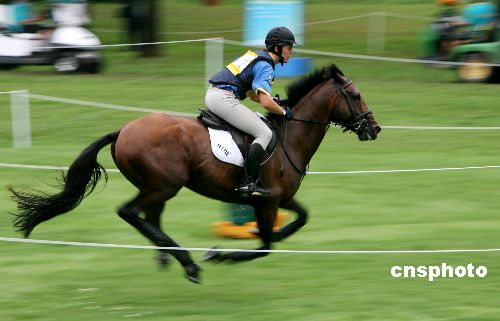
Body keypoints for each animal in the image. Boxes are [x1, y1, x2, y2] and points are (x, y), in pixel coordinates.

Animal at [7, 64, 380, 282]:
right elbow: (265, 244)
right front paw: (219, 254)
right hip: (163, 185)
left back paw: (169, 258)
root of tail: (123, 130)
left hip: (157, 188)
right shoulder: (267, 201)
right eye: (355, 95)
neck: (290, 136)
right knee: (130, 212)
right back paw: (189, 263)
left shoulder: (281, 199)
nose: (374, 128)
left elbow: (297, 222)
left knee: (150, 219)